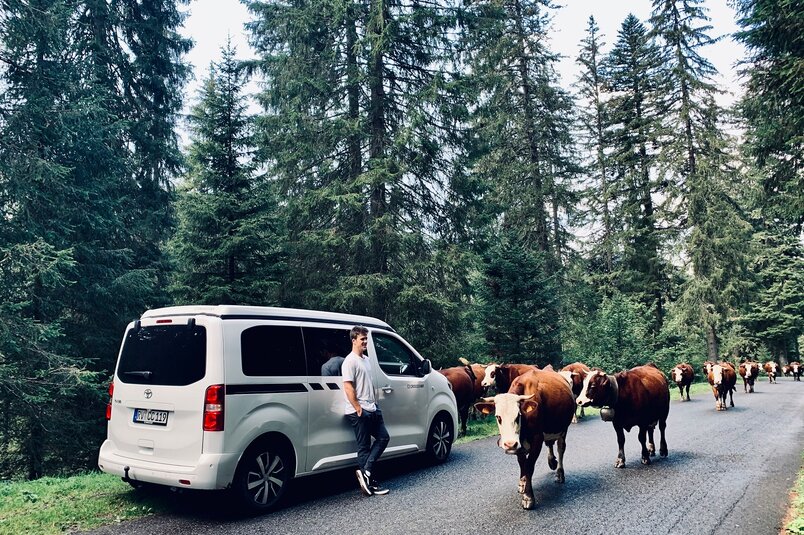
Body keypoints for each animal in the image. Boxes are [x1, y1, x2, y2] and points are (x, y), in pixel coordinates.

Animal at [474, 368, 576, 510]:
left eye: (518, 415)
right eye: (498, 417)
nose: (509, 444)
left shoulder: (537, 439)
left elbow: (529, 466)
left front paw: (528, 497)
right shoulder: (519, 445)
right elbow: (522, 463)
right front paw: (522, 483)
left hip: (563, 428)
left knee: (561, 448)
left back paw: (560, 473)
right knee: (549, 443)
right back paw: (551, 461)